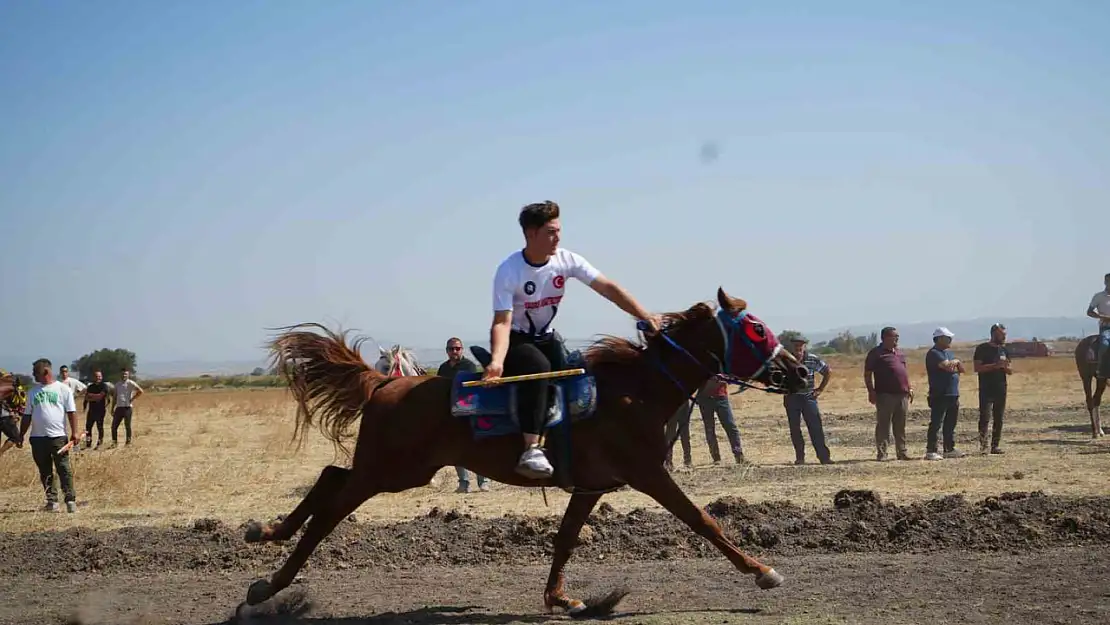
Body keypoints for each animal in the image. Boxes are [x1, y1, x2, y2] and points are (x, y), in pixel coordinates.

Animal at [243, 286, 812, 617]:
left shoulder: (590, 485)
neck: (636, 389)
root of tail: (385, 382)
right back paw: (270, 585)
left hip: (399, 470)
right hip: (390, 472)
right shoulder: (648, 473)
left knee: (329, 476)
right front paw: (762, 571)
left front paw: (561, 597)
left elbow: (564, 540)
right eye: (756, 329)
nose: (801, 373)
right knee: (330, 509)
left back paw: (266, 533)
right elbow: (703, 520)